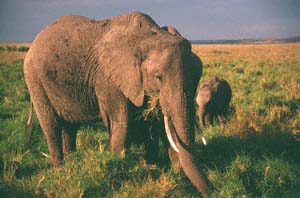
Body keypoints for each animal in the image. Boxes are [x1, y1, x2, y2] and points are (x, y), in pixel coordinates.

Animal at [23, 11, 207, 194]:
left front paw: (170, 174)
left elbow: (160, 125)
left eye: (196, 77)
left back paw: (72, 165)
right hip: (34, 78)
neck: (148, 37)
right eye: (158, 77)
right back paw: (60, 170)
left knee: (70, 127)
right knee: (51, 126)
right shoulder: (108, 78)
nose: (210, 189)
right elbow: (121, 123)